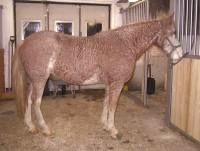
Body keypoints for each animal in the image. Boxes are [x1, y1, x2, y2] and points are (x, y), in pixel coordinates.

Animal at [11, 14, 184, 139]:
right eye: (173, 33)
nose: (181, 55)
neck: (125, 43)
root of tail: (25, 42)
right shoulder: (117, 83)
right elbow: (113, 105)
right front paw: (113, 130)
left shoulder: (109, 83)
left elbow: (106, 102)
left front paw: (105, 125)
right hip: (40, 80)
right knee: (36, 102)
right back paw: (45, 129)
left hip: (32, 81)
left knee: (28, 100)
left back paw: (31, 126)